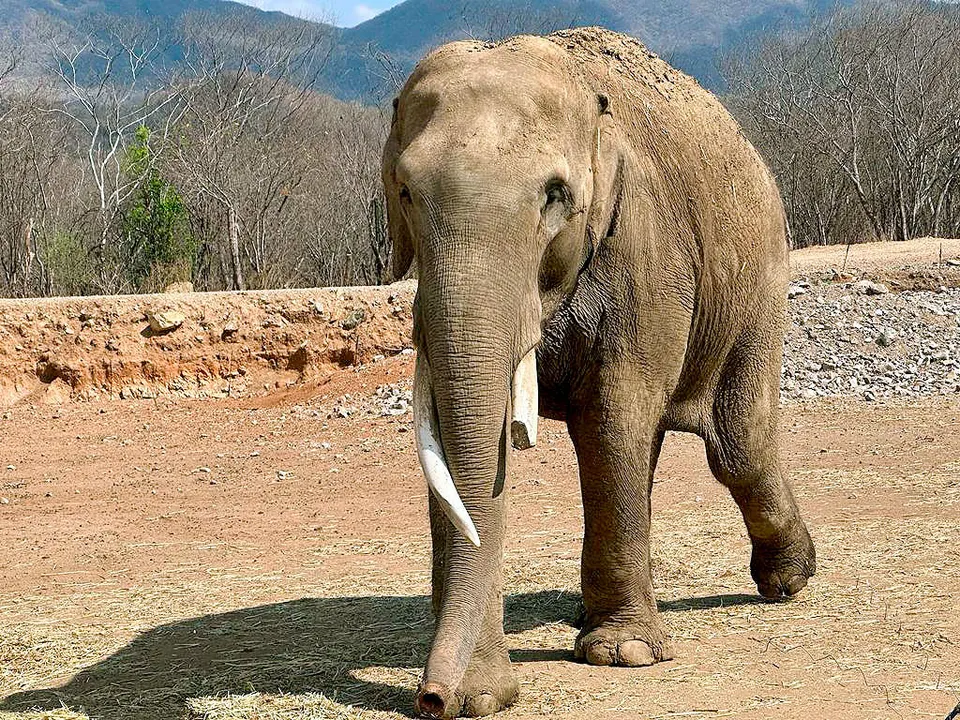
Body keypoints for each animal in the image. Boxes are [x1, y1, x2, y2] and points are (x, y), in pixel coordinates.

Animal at [381, 26, 817, 719]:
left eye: (555, 197)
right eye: (404, 193)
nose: (432, 699)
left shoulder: (644, 251)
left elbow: (614, 414)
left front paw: (623, 655)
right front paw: (484, 693)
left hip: (760, 281)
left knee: (736, 446)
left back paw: (786, 581)